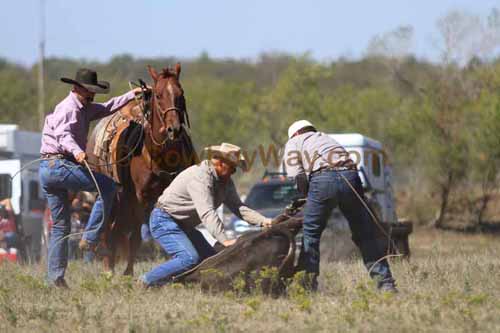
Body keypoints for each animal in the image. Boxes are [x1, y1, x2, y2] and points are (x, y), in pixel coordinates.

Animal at [87, 63, 196, 274]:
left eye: (181, 93)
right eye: (159, 95)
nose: (174, 129)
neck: (161, 157)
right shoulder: (140, 198)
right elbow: (136, 237)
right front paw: (128, 273)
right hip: (113, 196)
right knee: (108, 230)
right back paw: (109, 269)